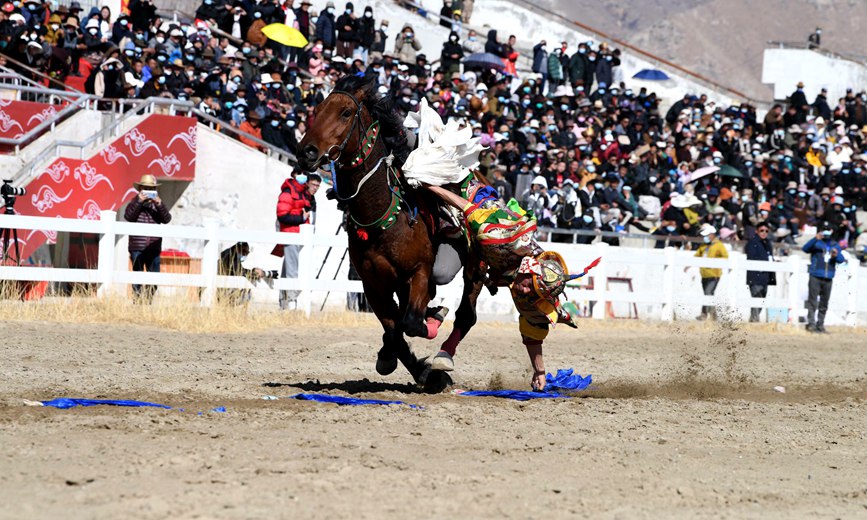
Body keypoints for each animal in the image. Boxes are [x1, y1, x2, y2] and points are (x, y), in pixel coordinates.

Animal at [297, 73, 484, 392]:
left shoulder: (419, 272)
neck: (383, 216)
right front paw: (413, 367)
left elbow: (410, 323)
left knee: (465, 315)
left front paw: (432, 360)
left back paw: (443, 353)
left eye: (345, 112)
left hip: (474, 269)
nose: (306, 152)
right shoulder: (373, 285)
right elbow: (395, 329)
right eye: (317, 109)